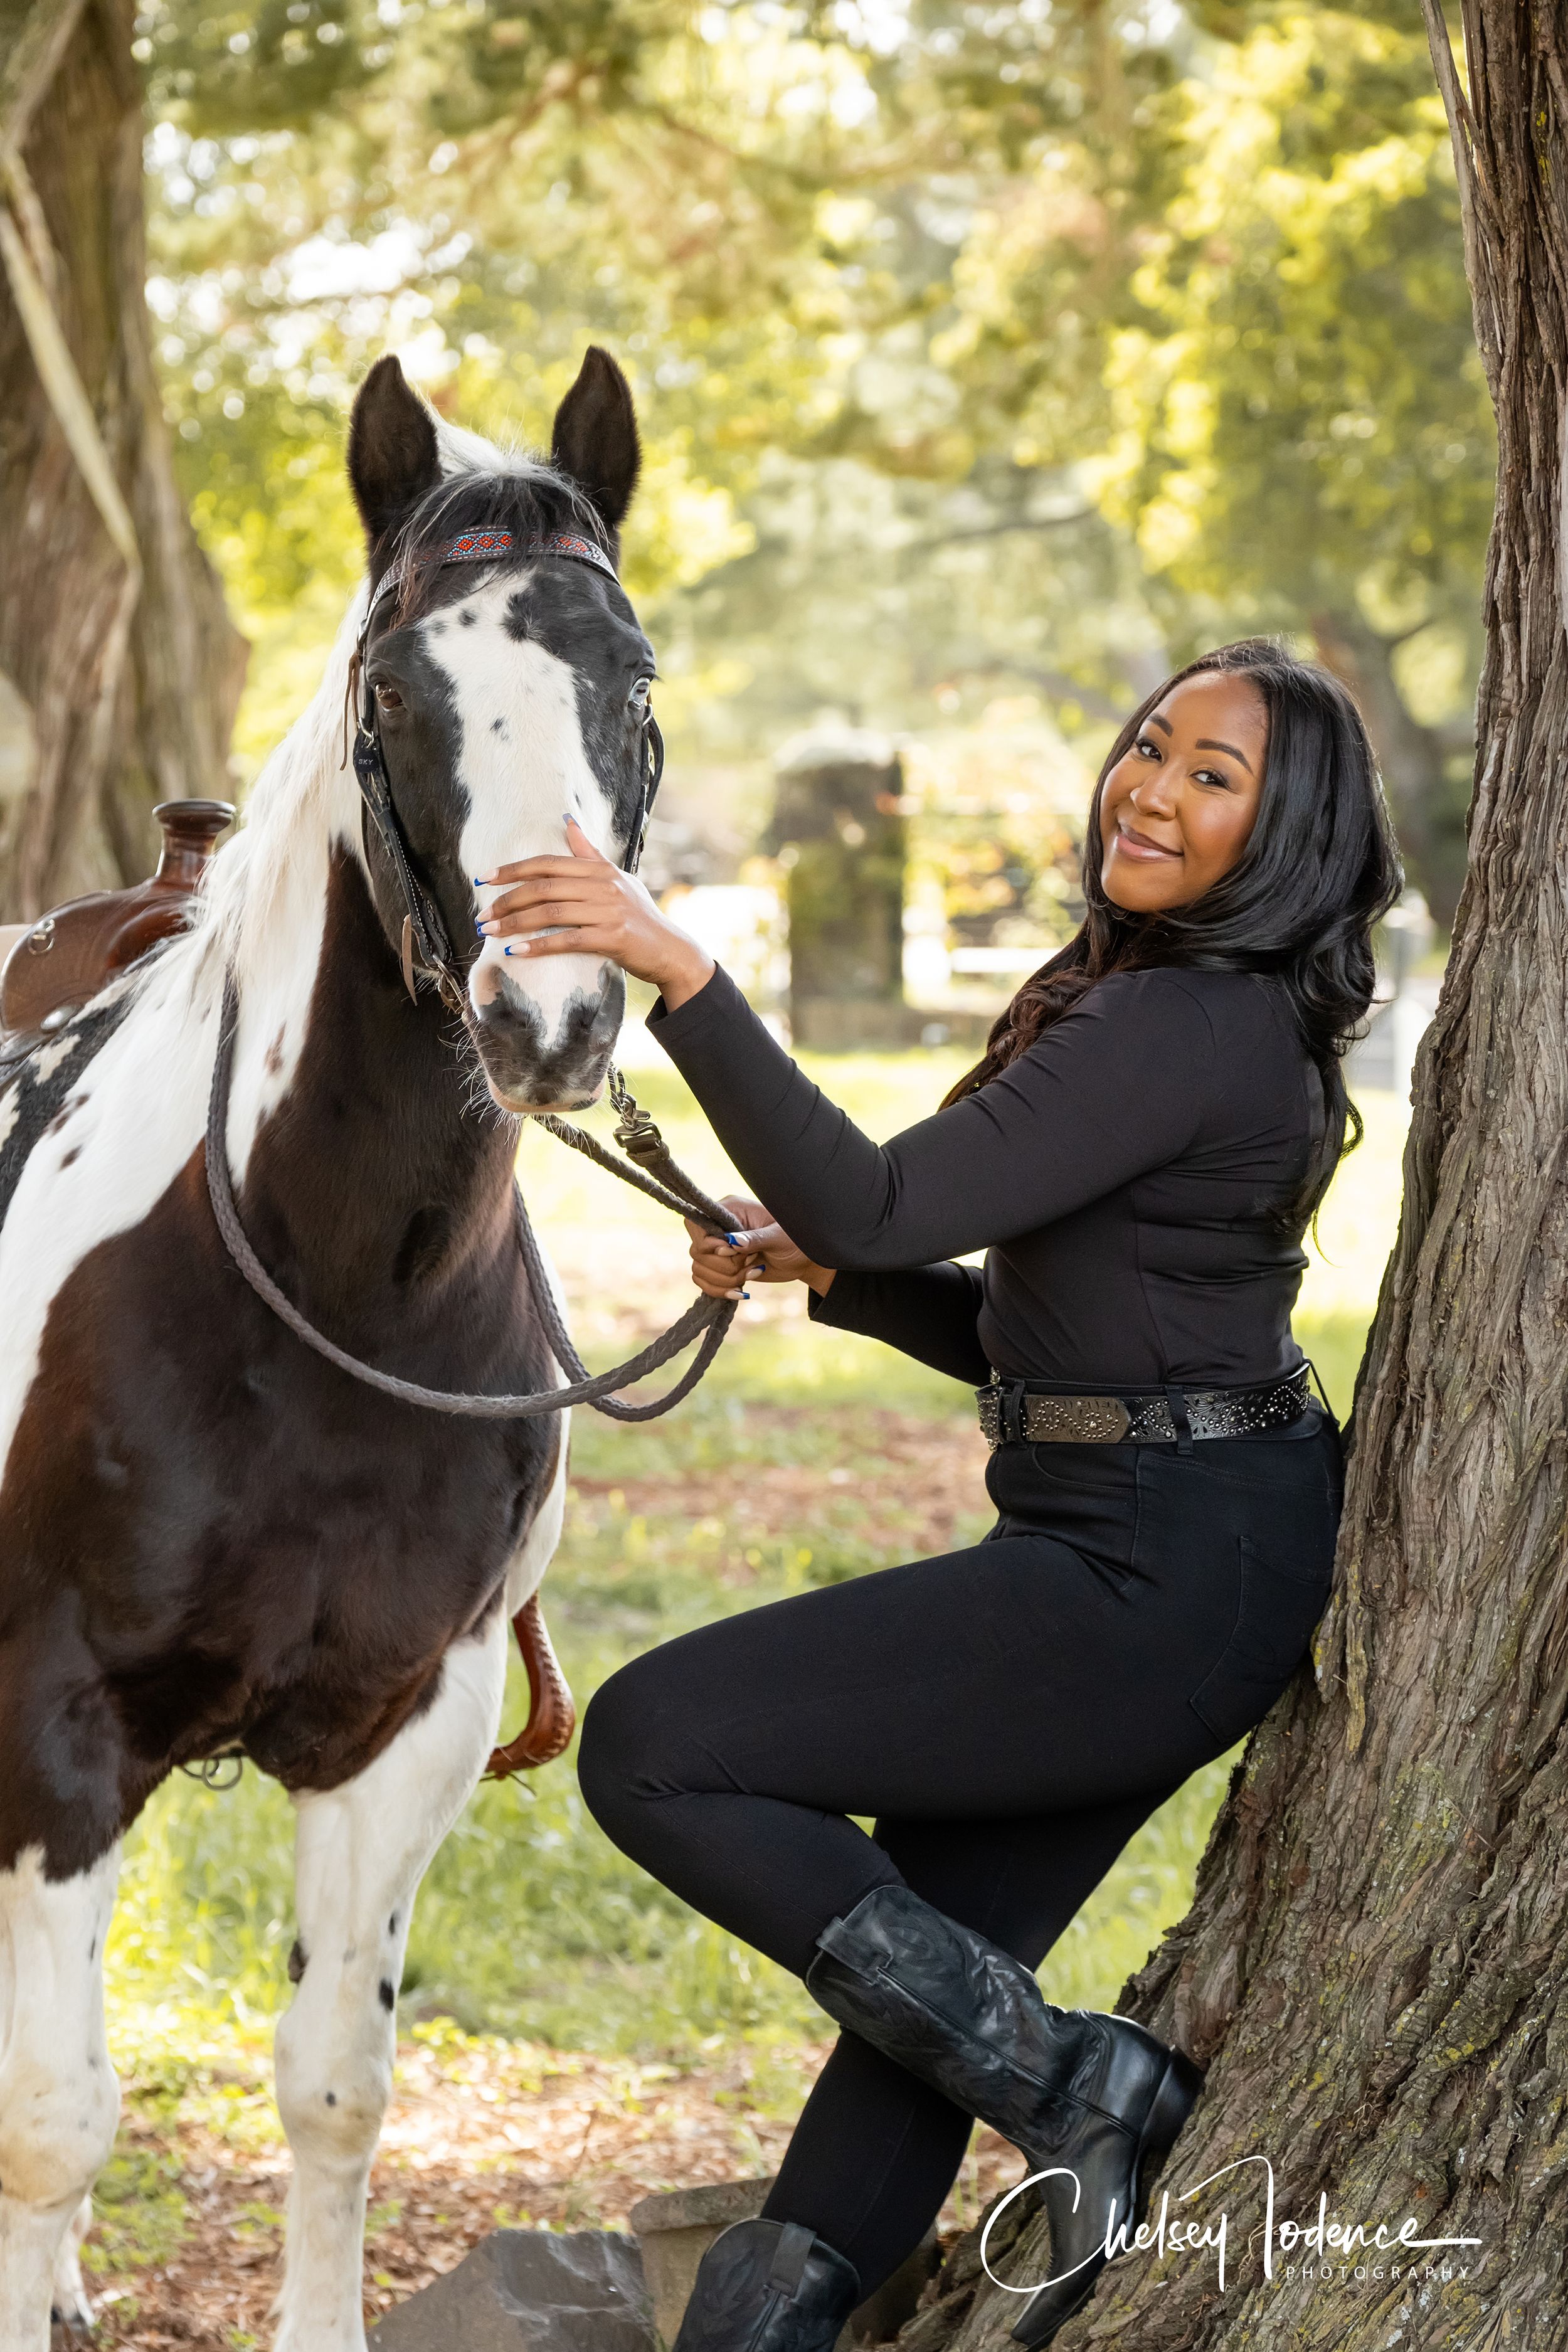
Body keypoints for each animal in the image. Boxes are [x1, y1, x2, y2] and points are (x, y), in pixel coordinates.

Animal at [0, 348, 662, 2352]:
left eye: (631, 679)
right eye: (396, 693)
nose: (552, 1016)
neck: (332, 1290)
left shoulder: (404, 1719)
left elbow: (332, 2088)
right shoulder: (53, 1712)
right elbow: (50, 2111)